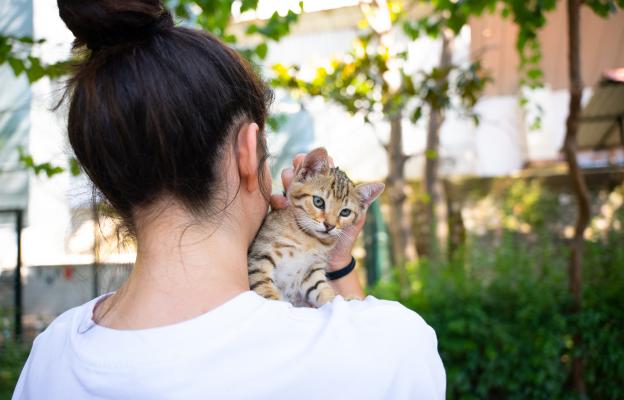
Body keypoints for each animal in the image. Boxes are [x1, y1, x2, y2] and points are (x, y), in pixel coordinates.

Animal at [246, 148, 382, 308]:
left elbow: (324, 291)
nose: (329, 225)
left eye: (345, 212)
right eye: (318, 201)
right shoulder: (259, 259)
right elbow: (265, 289)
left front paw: (340, 300)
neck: (309, 239)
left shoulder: (312, 272)